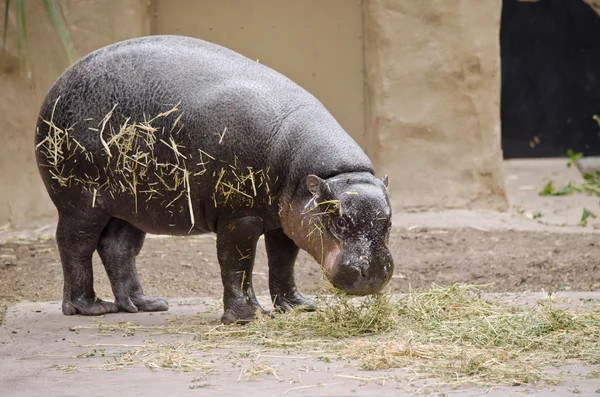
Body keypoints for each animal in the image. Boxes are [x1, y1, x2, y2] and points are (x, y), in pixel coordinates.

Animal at [35, 35, 396, 324]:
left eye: (389, 221)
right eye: (340, 221)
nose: (375, 272)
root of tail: (56, 86)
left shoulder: (285, 220)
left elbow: (282, 263)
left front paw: (297, 307)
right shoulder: (240, 216)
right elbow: (236, 263)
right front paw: (245, 317)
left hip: (132, 204)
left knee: (118, 247)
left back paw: (145, 304)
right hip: (82, 202)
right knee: (75, 244)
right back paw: (90, 307)